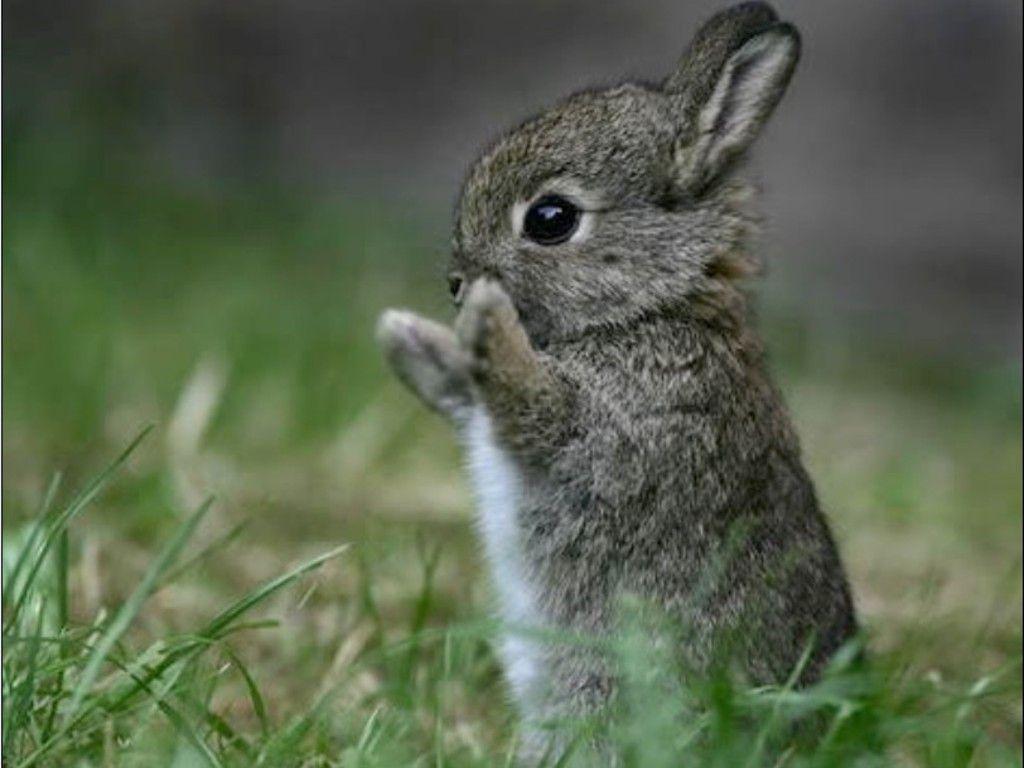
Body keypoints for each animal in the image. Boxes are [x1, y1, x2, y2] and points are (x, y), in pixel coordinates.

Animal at [377, 0, 857, 751]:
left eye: (551, 219)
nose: (457, 282)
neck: (651, 308)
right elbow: (471, 394)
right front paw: (407, 336)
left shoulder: (613, 433)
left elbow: (532, 404)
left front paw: (486, 318)